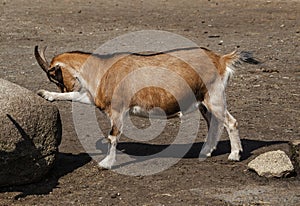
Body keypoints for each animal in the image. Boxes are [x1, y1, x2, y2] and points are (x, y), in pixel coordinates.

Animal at [35, 45, 258, 169]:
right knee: (214, 123)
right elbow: (75, 96)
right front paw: (45, 95)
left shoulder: (118, 110)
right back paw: (206, 152)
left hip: (215, 98)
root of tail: (221, 59)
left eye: (54, 76)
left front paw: (106, 164)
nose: (65, 85)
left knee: (231, 122)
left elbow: (113, 136)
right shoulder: (95, 98)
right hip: (204, 102)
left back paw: (234, 155)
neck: (101, 70)